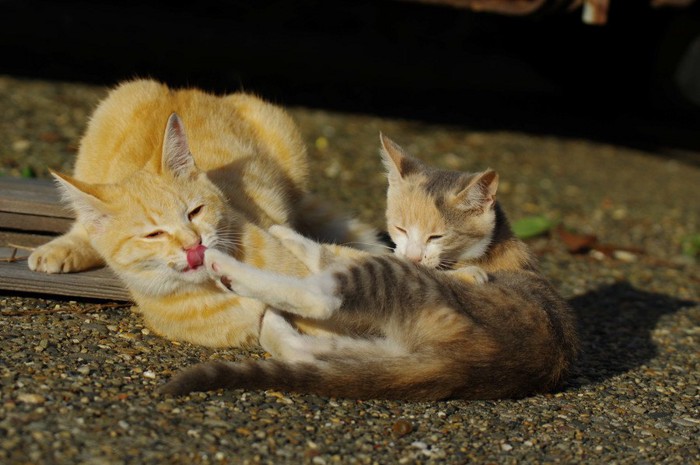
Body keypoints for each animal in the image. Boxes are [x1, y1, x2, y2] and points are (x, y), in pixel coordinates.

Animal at [27, 80, 380, 346]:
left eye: (195, 212)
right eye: (154, 234)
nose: (192, 243)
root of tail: (177, 88)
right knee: (81, 227)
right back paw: (59, 250)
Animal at [161, 133, 576, 398]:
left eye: (436, 236)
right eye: (400, 227)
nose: (412, 256)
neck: (492, 243)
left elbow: (331, 253)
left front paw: (282, 231)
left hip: (403, 284)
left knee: (322, 299)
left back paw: (225, 266)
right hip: (380, 347)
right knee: (310, 352)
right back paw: (274, 322)